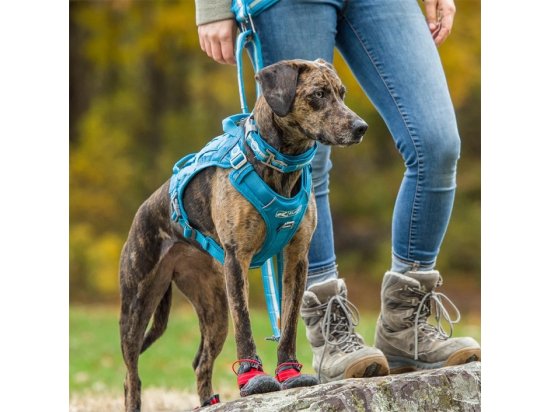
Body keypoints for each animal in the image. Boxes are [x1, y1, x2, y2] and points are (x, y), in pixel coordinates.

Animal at [118, 58, 368, 408]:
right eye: (318, 94)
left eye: (342, 93)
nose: (361, 127)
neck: (281, 163)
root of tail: (143, 209)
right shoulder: (238, 259)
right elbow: (246, 324)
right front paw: (253, 379)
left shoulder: (296, 258)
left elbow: (289, 323)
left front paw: (289, 373)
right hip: (136, 306)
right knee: (132, 376)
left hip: (213, 306)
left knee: (200, 362)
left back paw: (208, 402)